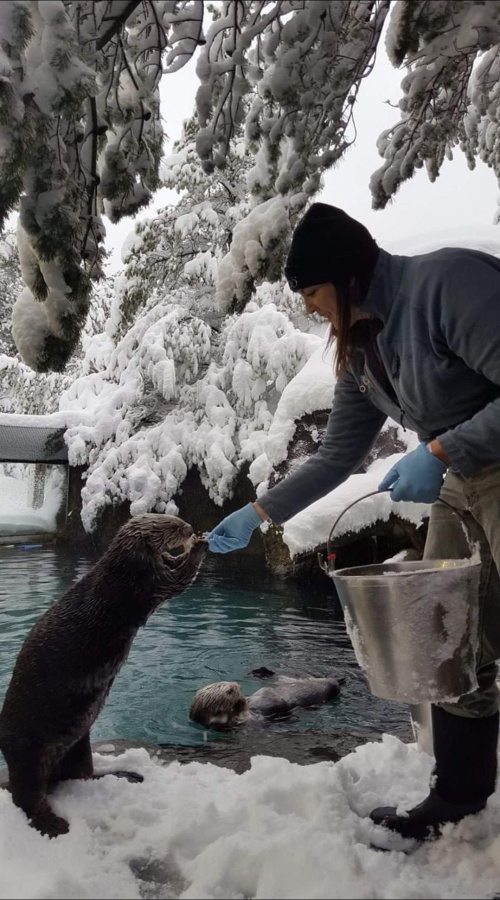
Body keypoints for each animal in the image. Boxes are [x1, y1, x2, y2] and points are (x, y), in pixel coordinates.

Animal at [0, 514, 207, 839]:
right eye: (172, 525)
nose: (188, 527)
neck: (120, 568)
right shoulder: (142, 582)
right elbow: (176, 580)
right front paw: (200, 546)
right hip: (27, 754)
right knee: (26, 798)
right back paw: (53, 824)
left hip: (78, 746)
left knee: (81, 776)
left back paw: (126, 775)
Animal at [189, 669, 343, 730]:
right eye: (229, 691)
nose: (237, 685)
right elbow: (278, 702)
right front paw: (241, 701)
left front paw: (245, 698)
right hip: (329, 688)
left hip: (289, 680)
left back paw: (261, 672)